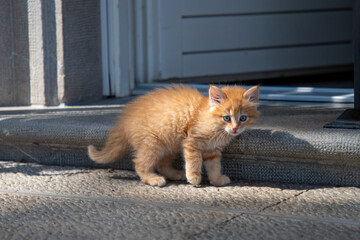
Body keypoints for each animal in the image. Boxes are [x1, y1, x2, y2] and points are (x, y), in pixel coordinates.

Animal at [89, 85, 260, 188]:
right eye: (227, 118)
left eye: (243, 118)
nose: (235, 129)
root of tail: (124, 120)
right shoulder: (192, 141)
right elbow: (194, 161)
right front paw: (194, 177)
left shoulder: (212, 150)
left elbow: (214, 165)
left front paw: (216, 179)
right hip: (154, 142)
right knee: (140, 163)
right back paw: (152, 178)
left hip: (169, 144)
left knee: (161, 164)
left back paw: (175, 174)